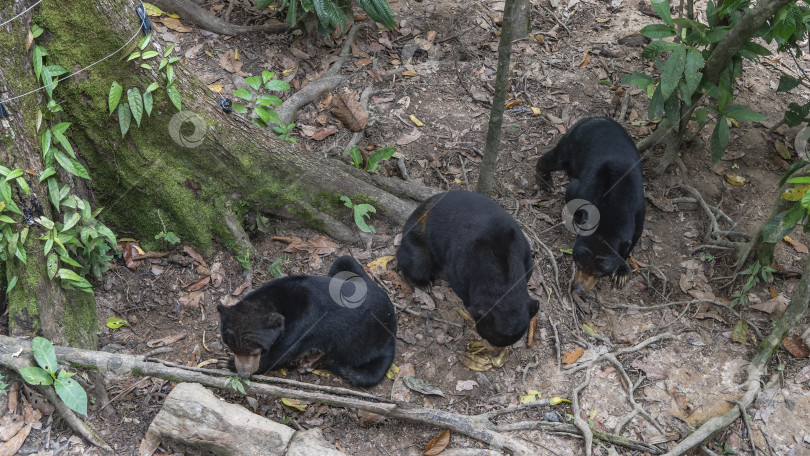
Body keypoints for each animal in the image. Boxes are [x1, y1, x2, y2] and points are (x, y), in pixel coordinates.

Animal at [216, 255, 396, 386]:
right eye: (232, 348)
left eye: (255, 352)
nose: (243, 374)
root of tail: (392, 332)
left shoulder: (304, 324)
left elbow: (282, 353)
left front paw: (228, 363)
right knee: (344, 260)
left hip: (362, 344)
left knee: (359, 372)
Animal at [396, 191, 536, 348]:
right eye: (489, 338)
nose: (494, 349)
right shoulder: (461, 264)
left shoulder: (525, 257)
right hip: (418, 237)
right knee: (418, 261)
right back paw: (423, 283)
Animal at [536, 117, 644, 294]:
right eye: (579, 263)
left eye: (600, 272)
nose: (579, 289)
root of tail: (597, 117)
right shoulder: (584, 191)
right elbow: (572, 193)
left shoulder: (638, 213)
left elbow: (632, 240)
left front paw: (621, 273)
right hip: (573, 143)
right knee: (555, 159)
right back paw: (544, 179)